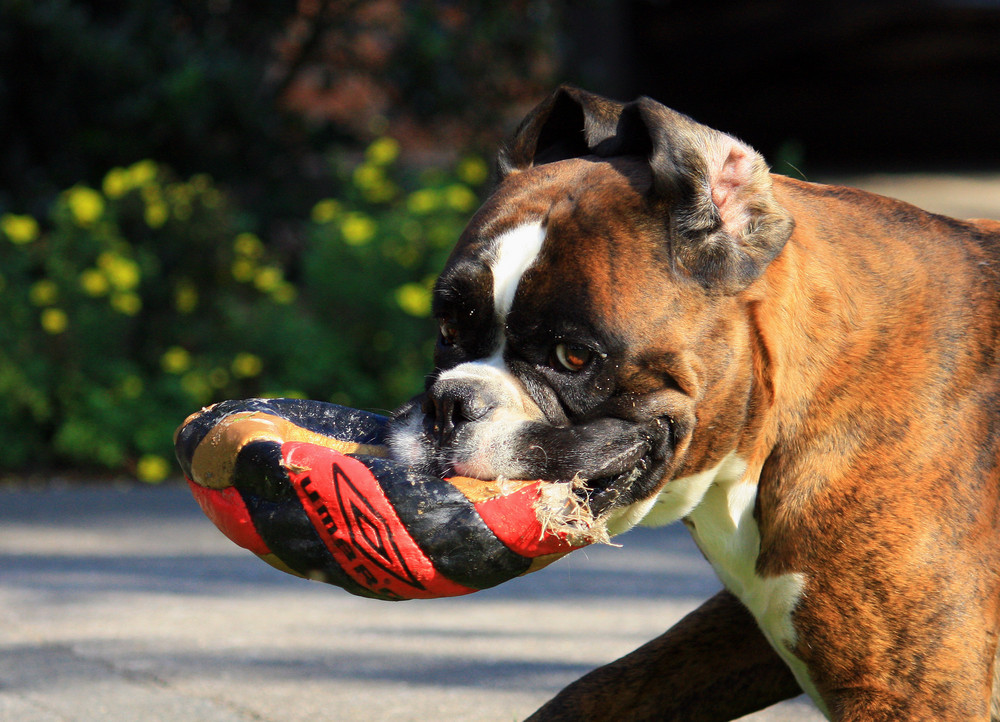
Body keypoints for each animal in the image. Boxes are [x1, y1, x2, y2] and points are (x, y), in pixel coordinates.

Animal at [386, 87, 1000, 716]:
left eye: (572, 357)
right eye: (447, 328)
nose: (450, 404)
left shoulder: (908, 693)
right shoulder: (755, 625)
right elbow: (601, 689)